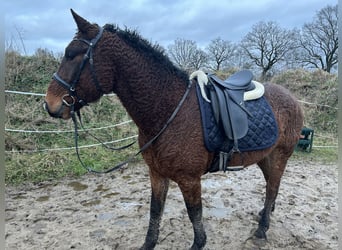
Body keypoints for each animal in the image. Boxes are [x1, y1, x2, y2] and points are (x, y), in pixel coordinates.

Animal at [44, 9, 304, 248]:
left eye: (72, 55)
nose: (50, 104)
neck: (167, 111)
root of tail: (292, 97)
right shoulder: (157, 174)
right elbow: (155, 211)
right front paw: (149, 243)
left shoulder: (189, 180)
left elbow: (195, 218)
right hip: (265, 157)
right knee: (272, 186)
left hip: (280, 156)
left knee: (272, 187)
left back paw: (261, 230)